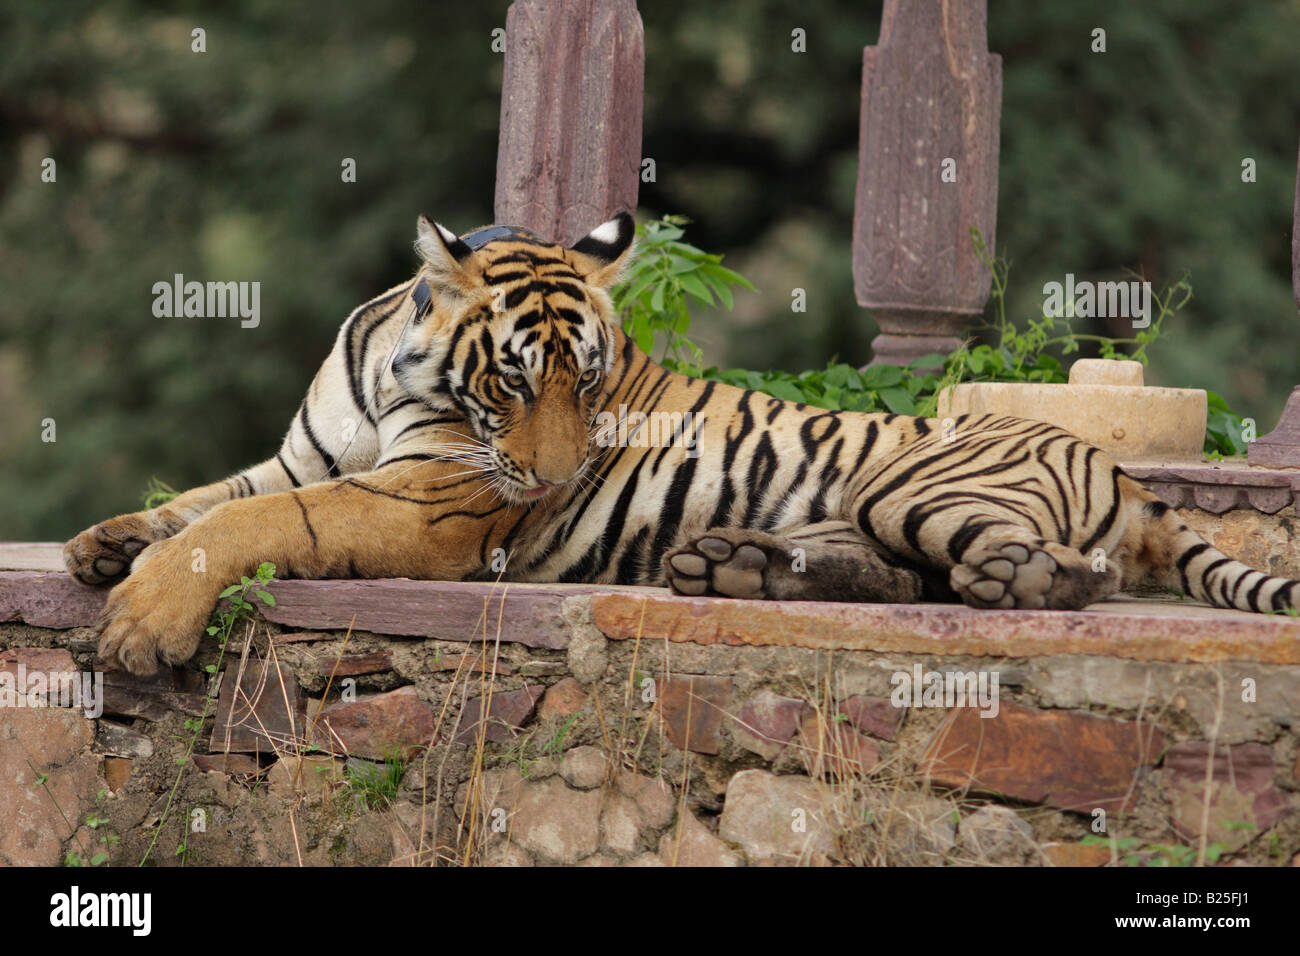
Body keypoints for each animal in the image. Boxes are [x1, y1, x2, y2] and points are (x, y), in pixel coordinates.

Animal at [65, 210, 1300, 671]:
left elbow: (257, 520)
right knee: (902, 575)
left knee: (1049, 576)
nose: (555, 477)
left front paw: (140, 620)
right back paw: (736, 566)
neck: (393, 374)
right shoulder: (309, 455)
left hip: (921, 480)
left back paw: (1014, 581)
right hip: (870, 513)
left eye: (590, 382)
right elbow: (208, 496)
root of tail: (1122, 469)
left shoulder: (427, 502)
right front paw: (103, 544)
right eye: (512, 380)